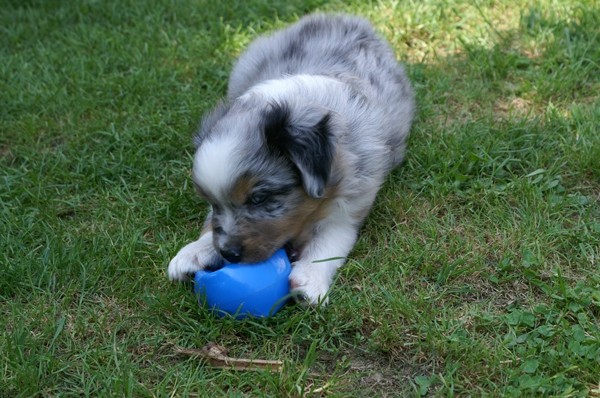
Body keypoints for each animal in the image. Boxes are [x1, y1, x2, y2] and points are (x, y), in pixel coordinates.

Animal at [166, 13, 414, 304]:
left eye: (259, 198)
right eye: (213, 203)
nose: (228, 254)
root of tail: (342, 16)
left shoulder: (354, 198)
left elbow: (330, 238)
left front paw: (310, 280)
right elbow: (211, 225)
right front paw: (195, 251)